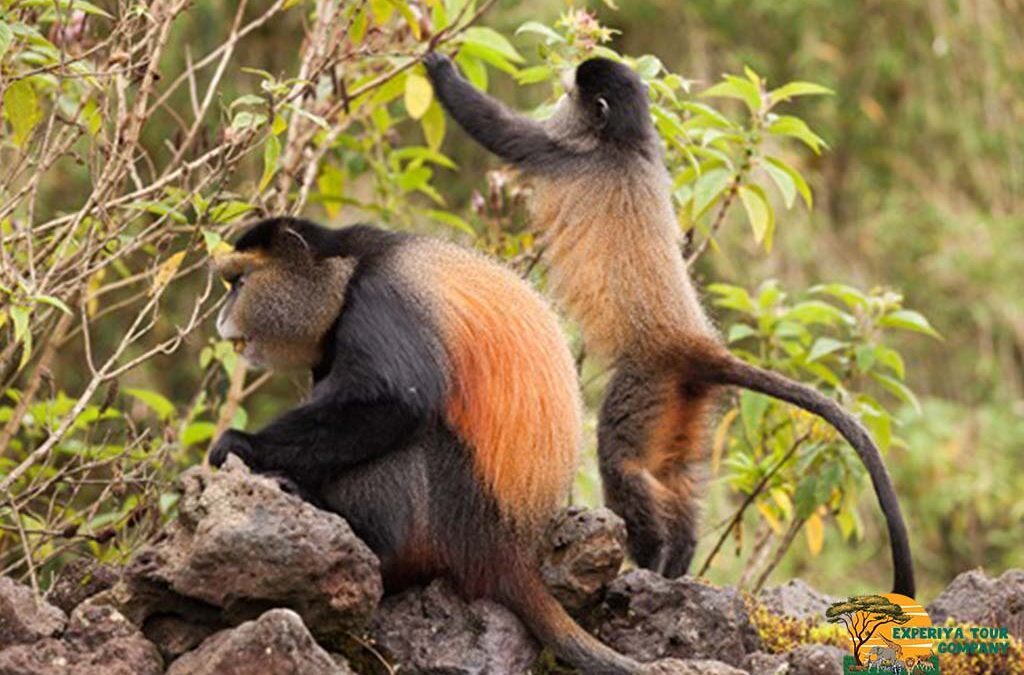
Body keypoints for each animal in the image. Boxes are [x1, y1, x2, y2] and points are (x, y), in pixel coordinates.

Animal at [207, 217, 644, 674]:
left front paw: (241, 444)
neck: (349, 270)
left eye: (240, 282)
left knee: (411, 438)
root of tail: (512, 552)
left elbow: (397, 401)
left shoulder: (381, 300)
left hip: (457, 519)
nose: (221, 319)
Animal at [424, 52, 915, 596]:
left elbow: (497, 129)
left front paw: (440, 68)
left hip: (647, 381)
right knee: (676, 474)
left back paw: (653, 554)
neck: (626, 144)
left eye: (570, 96)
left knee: (623, 461)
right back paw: (676, 558)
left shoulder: (562, 151)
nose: (559, 100)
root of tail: (694, 344)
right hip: (687, 396)